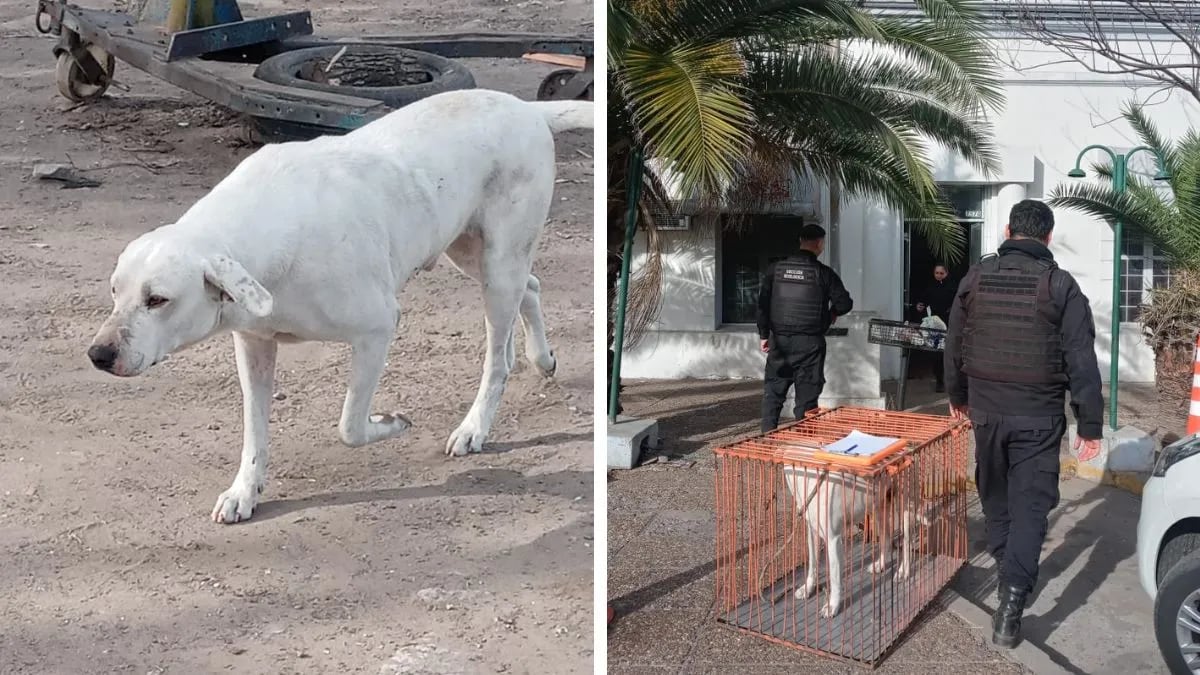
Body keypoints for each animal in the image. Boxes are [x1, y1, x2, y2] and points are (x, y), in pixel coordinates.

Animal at [87, 88, 592, 521]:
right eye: (114, 291)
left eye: (158, 300)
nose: (98, 354)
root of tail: (526, 108)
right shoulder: (253, 345)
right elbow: (255, 430)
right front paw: (244, 492)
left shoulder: (377, 329)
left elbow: (350, 425)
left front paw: (391, 422)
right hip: (471, 255)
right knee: (531, 287)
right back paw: (540, 357)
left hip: (497, 264)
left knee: (497, 360)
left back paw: (475, 426)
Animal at [777, 461, 926, 614]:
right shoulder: (812, 530)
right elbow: (812, 562)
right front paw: (808, 588)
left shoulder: (833, 538)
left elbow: (835, 576)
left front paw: (832, 605)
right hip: (879, 506)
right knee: (887, 538)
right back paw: (880, 565)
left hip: (906, 505)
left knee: (907, 543)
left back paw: (903, 572)